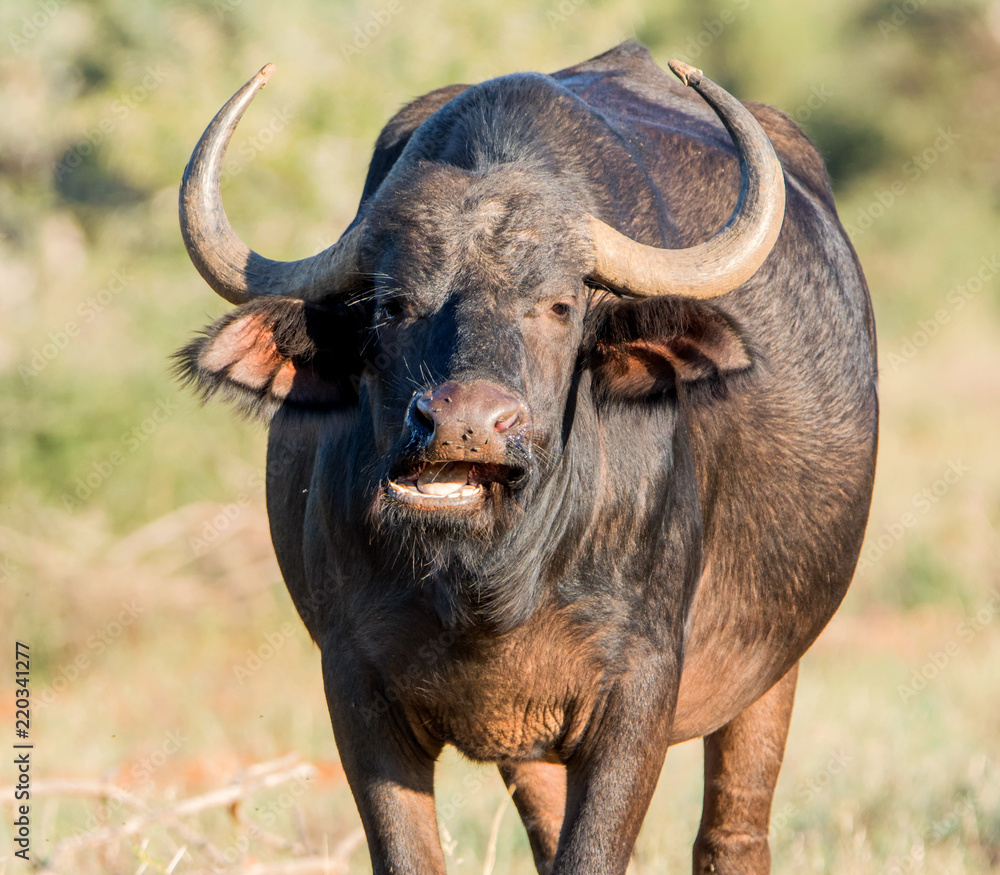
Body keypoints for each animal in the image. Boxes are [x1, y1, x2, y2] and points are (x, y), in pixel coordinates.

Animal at [177, 42, 877, 875]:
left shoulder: (639, 688)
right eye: (392, 305)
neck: (492, 583)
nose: (464, 424)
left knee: (733, 831)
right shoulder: (354, 683)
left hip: (772, 667)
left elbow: (596, 852)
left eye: (560, 305)